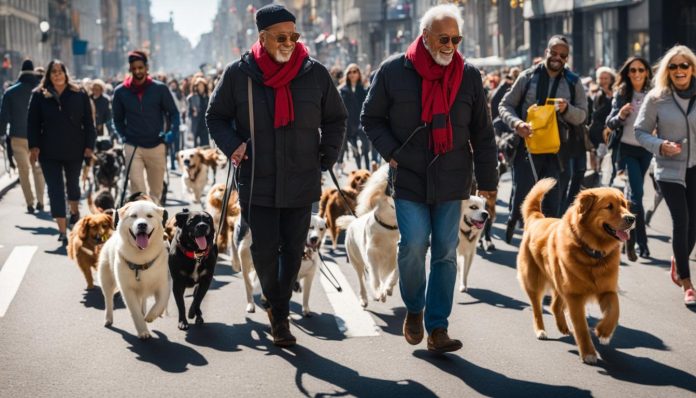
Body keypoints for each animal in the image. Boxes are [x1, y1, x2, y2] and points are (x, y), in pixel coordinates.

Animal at [98, 199, 171, 338]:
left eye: (149, 216)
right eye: (133, 216)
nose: (142, 225)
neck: (141, 258)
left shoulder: (163, 283)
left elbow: (161, 302)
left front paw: (151, 316)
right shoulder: (127, 290)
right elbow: (135, 312)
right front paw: (143, 332)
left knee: (144, 301)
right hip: (106, 279)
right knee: (108, 299)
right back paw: (108, 319)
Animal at [336, 165, 396, 308]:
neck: (388, 227)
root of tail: (353, 221)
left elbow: (393, 275)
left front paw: (388, 288)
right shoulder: (372, 254)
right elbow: (375, 278)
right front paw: (379, 292)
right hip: (355, 260)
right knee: (361, 279)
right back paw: (364, 299)